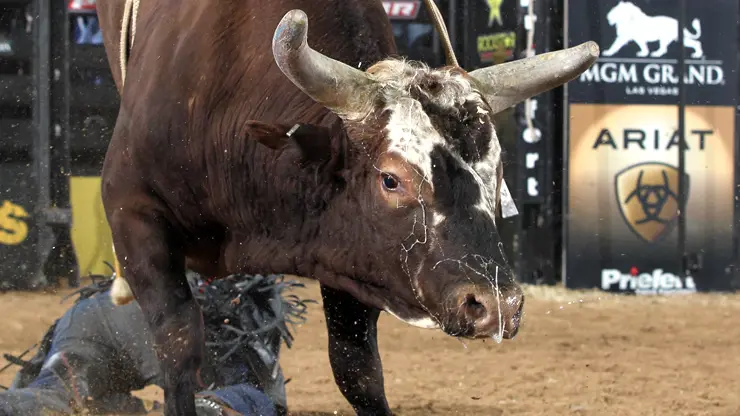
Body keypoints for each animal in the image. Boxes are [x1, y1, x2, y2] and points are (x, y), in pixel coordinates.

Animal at [94, 0, 598, 414]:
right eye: (391, 178)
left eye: (497, 173)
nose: (495, 305)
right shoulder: (133, 215)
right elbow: (179, 343)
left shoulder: (350, 255)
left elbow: (358, 370)